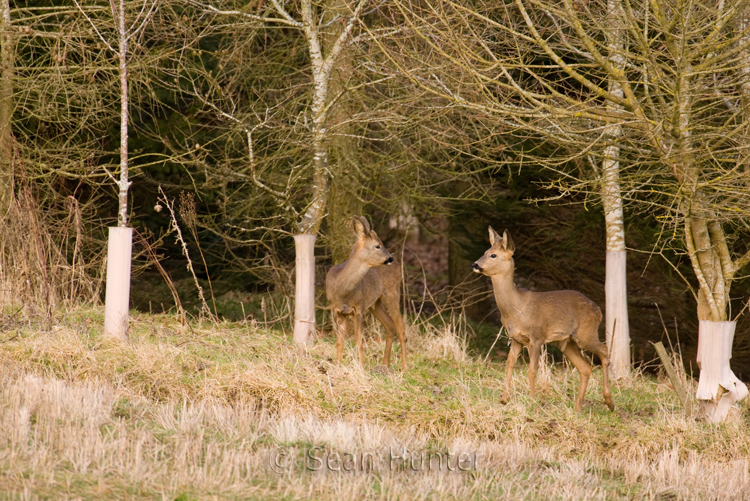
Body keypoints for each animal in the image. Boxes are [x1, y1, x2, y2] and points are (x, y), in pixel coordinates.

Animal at [326, 217, 408, 370]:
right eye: (378, 246)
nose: (390, 258)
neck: (342, 290)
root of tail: (399, 265)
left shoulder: (358, 308)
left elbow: (359, 342)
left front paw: (362, 369)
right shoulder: (337, 310)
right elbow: (339, 342)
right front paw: (337, 367)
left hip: (392, 292)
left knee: (401, 326)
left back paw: (404, 367)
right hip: (375, 303)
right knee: (390, 325)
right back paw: (385, 365)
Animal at [472, 227, 612, 410]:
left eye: (493, 255)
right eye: (485, 252)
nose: (475, 264)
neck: (517, 308)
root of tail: (599, 310)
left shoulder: (537, 336)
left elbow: (532, 370)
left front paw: (532, 401)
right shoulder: (516, 338)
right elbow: (509, 364)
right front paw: (504, 398)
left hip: (586, 333)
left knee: (604, 350)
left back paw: (609, 401)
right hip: (566, 342)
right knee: (586, 367)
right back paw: (577, 408)